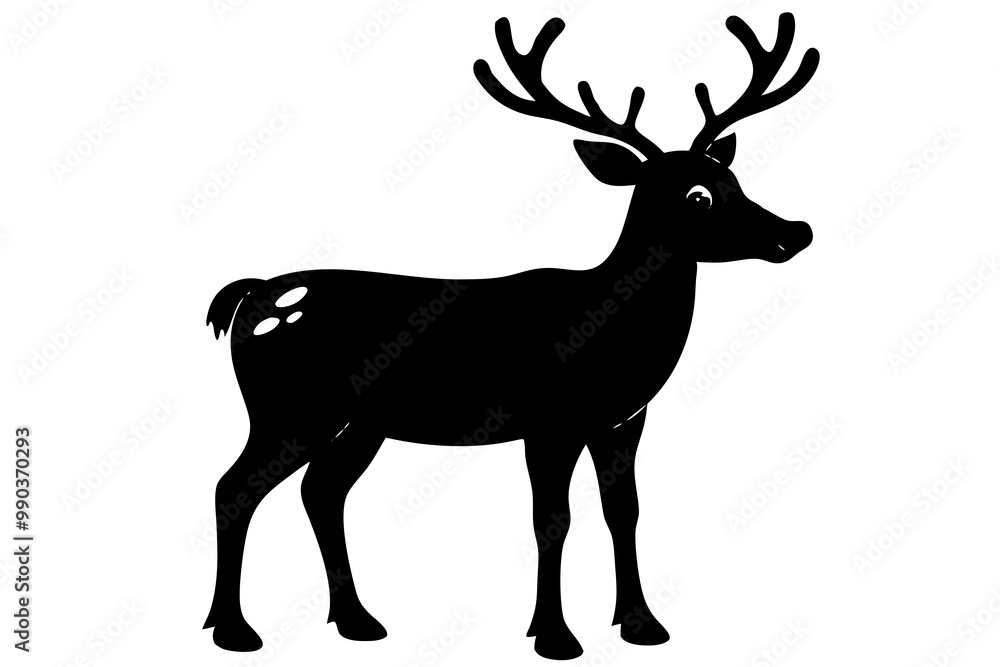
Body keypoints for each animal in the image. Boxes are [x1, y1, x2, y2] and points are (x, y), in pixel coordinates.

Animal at [203, 13, 819, 660]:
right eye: (696, 195)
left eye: (733, 177)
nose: (795, 231)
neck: (614, 336)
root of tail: (250, 295)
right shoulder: (549, 419)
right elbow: (553, 519)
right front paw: (554, 635)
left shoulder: (623, 419)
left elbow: (623, 512)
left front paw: (642, 625)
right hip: (288, 408)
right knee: (234, 486)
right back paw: (233, 630)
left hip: (360, 422)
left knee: (320, 491)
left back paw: (356, 621)